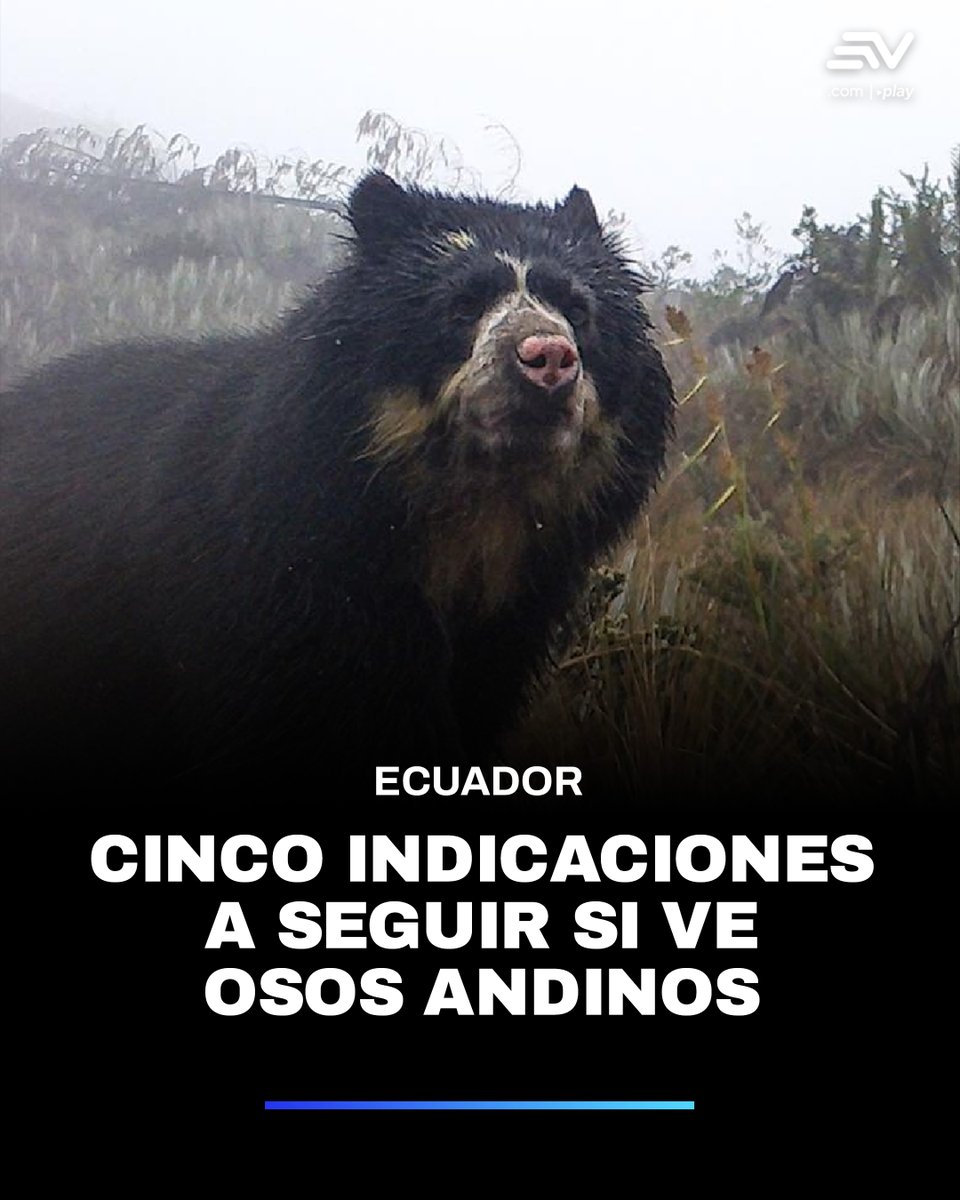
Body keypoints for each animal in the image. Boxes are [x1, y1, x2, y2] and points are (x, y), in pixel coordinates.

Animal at [0, 171, 674, 795]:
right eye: (460, 306)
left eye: (579, 312)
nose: (548, 358)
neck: (470, 513)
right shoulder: (289, 587)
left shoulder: (509, 622)